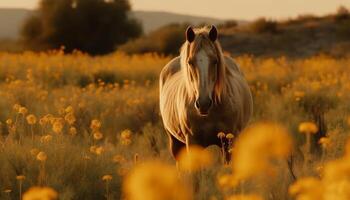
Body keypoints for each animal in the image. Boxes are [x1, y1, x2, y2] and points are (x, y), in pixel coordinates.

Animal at [160, 25, 253, 163]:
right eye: (190, 62)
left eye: (215, 61)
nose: (203, 104)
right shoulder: (193, 143)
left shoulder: (229, 141)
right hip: (175, 142)